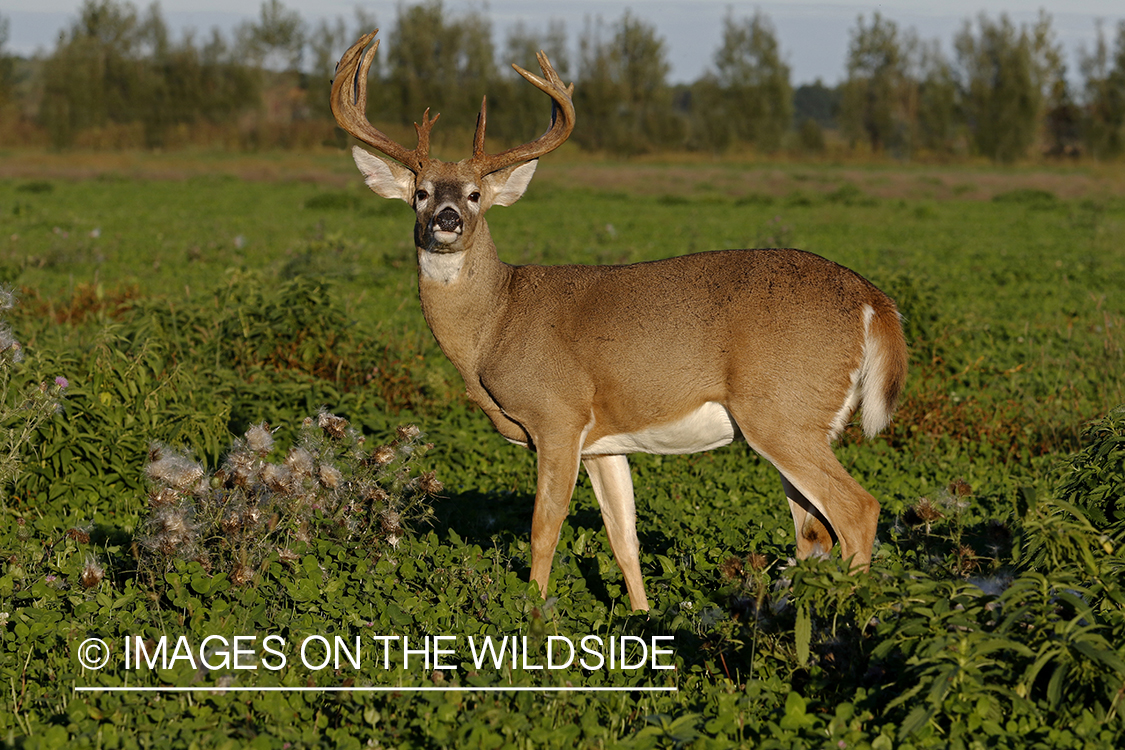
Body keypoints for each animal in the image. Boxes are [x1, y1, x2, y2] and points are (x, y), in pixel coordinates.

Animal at [330, 32, 904, 611]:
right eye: (421, 192)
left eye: (474, 195)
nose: (446, 219)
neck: (495, 324)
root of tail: (873, 300)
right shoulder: (603, 442)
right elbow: (622, 535)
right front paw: (641, 617)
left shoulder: (557, 414)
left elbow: (544, 528)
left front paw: (534, 613)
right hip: (798, 422)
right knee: (813, 533)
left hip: (782, 411)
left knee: (858, 510)